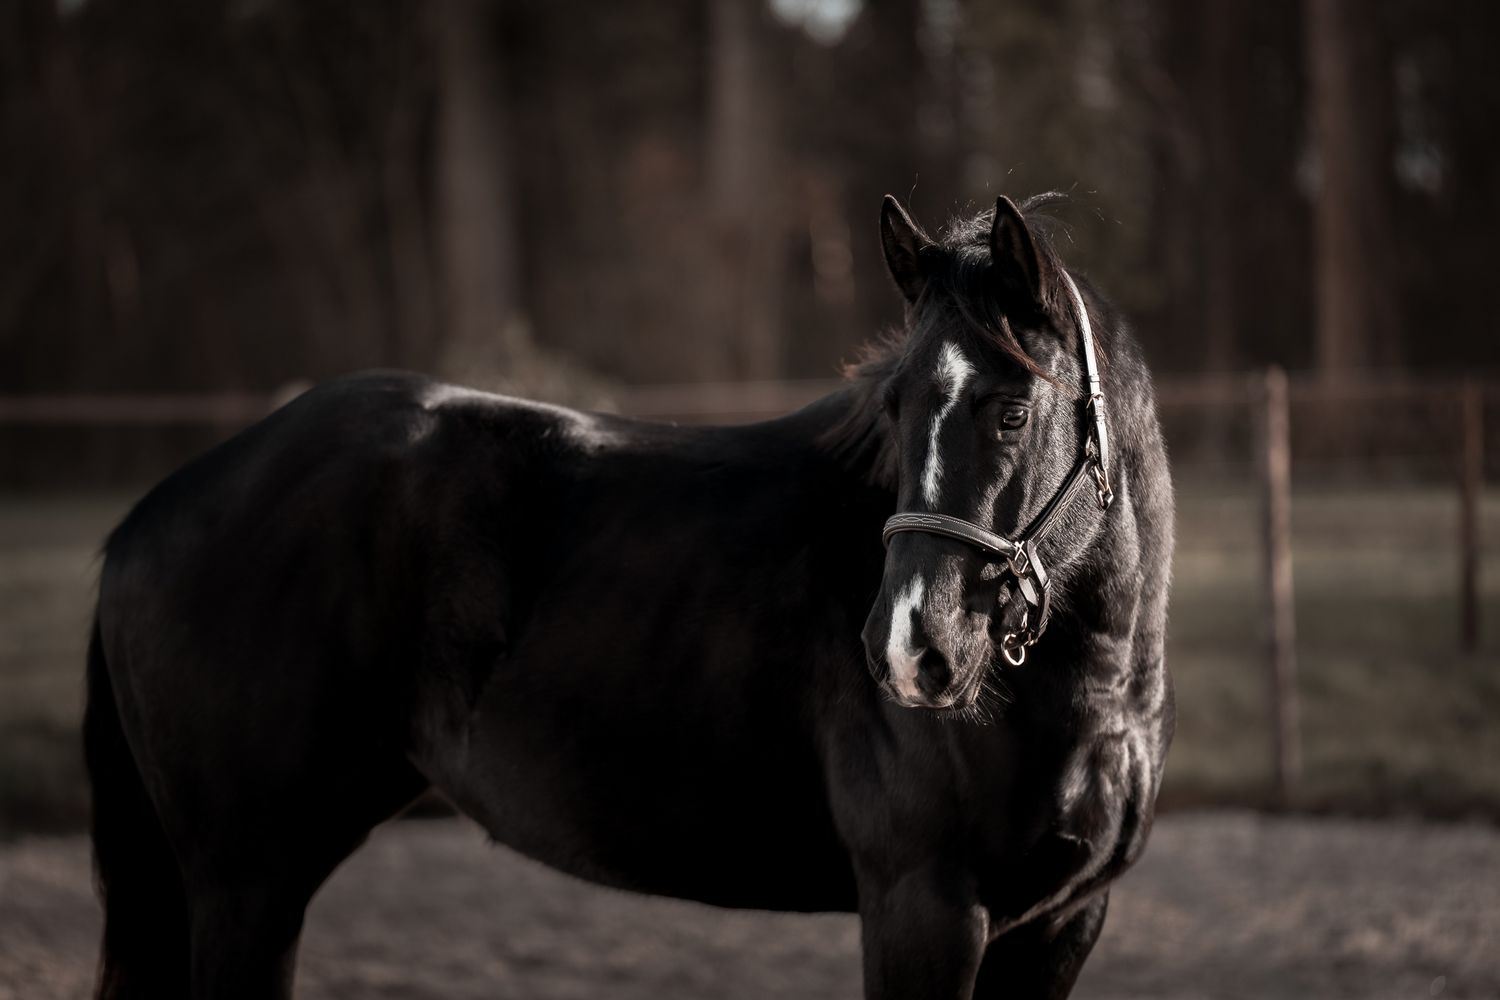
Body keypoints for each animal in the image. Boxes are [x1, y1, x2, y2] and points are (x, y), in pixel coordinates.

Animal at [84, 192, 1174, 1000]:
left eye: (1012, 409)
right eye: (897, 404)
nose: (910, 647)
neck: (1081, 697)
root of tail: (152, 512)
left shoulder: (1059, 923)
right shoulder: (924, 908)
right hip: (246, 883)